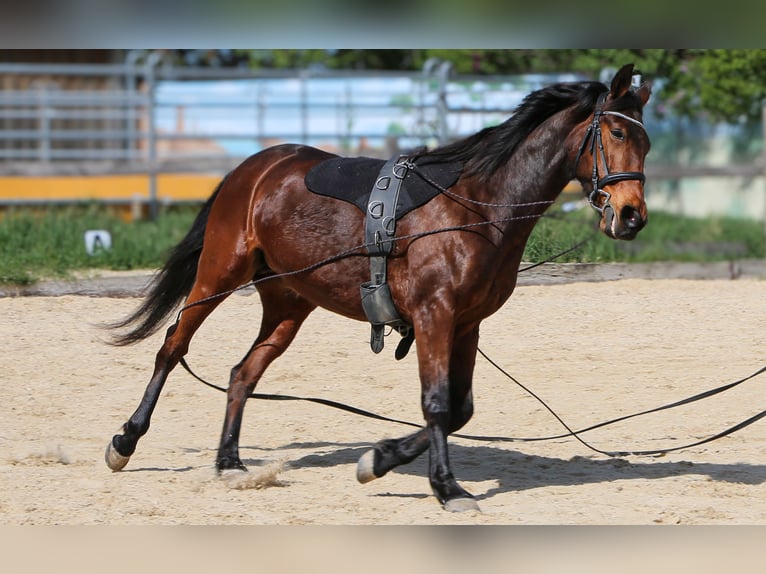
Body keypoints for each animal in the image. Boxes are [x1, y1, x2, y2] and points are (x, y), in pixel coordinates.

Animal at [105, 63, 652, 512]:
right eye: (617, 131)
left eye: (645, 143)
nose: (631, 216)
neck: (476, 206)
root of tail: (253, 168)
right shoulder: (435, 316)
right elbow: (438, 404)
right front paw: (446, 487)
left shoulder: (467, 325)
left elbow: (460, 408)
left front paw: (380, 459)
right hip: (219, 274)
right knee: (172, 347)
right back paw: (126, 440)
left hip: (288, 302)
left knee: (243, 373)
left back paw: (229, 461)